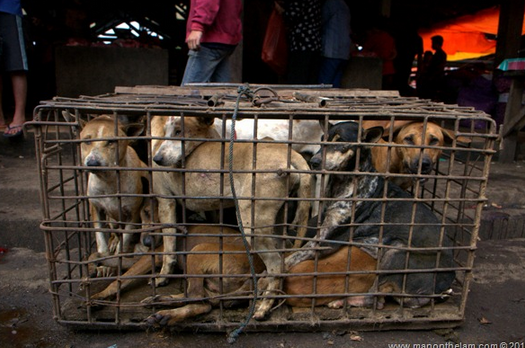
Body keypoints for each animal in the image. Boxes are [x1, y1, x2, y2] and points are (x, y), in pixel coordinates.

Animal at [77, 115, 148, 256]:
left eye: (111, 142)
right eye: (87, 141)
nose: (93, 163)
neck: (109, 181)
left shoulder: (133, 213)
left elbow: (125, 238)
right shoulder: (96, 208)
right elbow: (100, 236)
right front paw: (104, 255)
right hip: (112, 221)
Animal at [148, 115, 312, 320]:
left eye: (179, 132)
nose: (157, 159)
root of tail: (288, 152)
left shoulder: (165, 202)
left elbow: (169, 245)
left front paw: (162, 276)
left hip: (251, 223)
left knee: (274, 265)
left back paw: (263, 307)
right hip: (275, 221)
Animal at [284, 121, 456, 308]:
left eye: (340, 141)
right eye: (323, 140)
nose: (313, 162)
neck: (344, 183)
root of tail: (445, 285)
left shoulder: (325, 240)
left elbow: (291, 258)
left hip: (396, 253)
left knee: (376, 298)